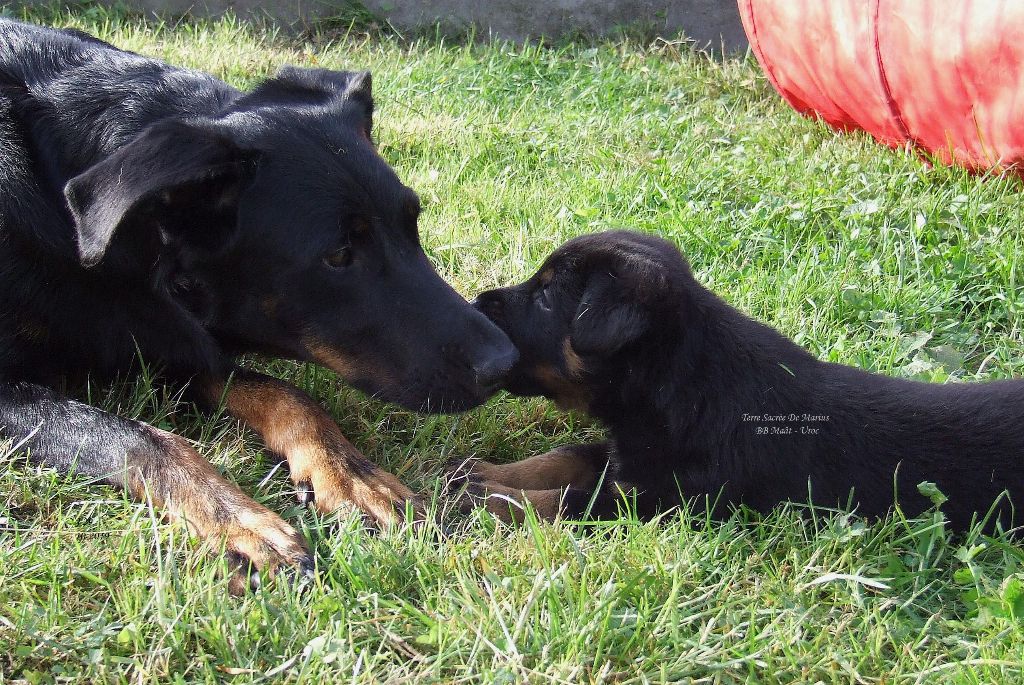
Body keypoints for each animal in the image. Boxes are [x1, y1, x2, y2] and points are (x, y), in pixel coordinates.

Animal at [0, 20, 516, 589]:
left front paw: (351, 474)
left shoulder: (171, 340)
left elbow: (290, 395)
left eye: (413, 222)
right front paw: (239, 520)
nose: (506, 363)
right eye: (338, 255)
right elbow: (139, 436)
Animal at [460, 229, 1024, 528]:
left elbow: (577, 500)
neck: (682, 384)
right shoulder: (632, 449)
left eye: (545, 296)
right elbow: (565, 456)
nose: (478, 303)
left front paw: (490, 500)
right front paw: (481, 471)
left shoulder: (676, 498)